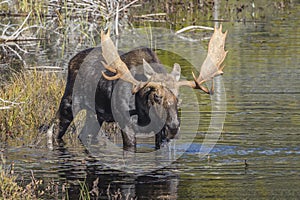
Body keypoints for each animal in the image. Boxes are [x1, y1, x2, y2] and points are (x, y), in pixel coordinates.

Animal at [49, 24, 227, 150]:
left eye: (179, 99)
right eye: (157, 96)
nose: (173, 127)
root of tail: (71, 61)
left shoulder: (160, 134)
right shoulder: (125, 125)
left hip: (96, 115)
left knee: (86, 134)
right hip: (70, 102)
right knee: (55, 128)